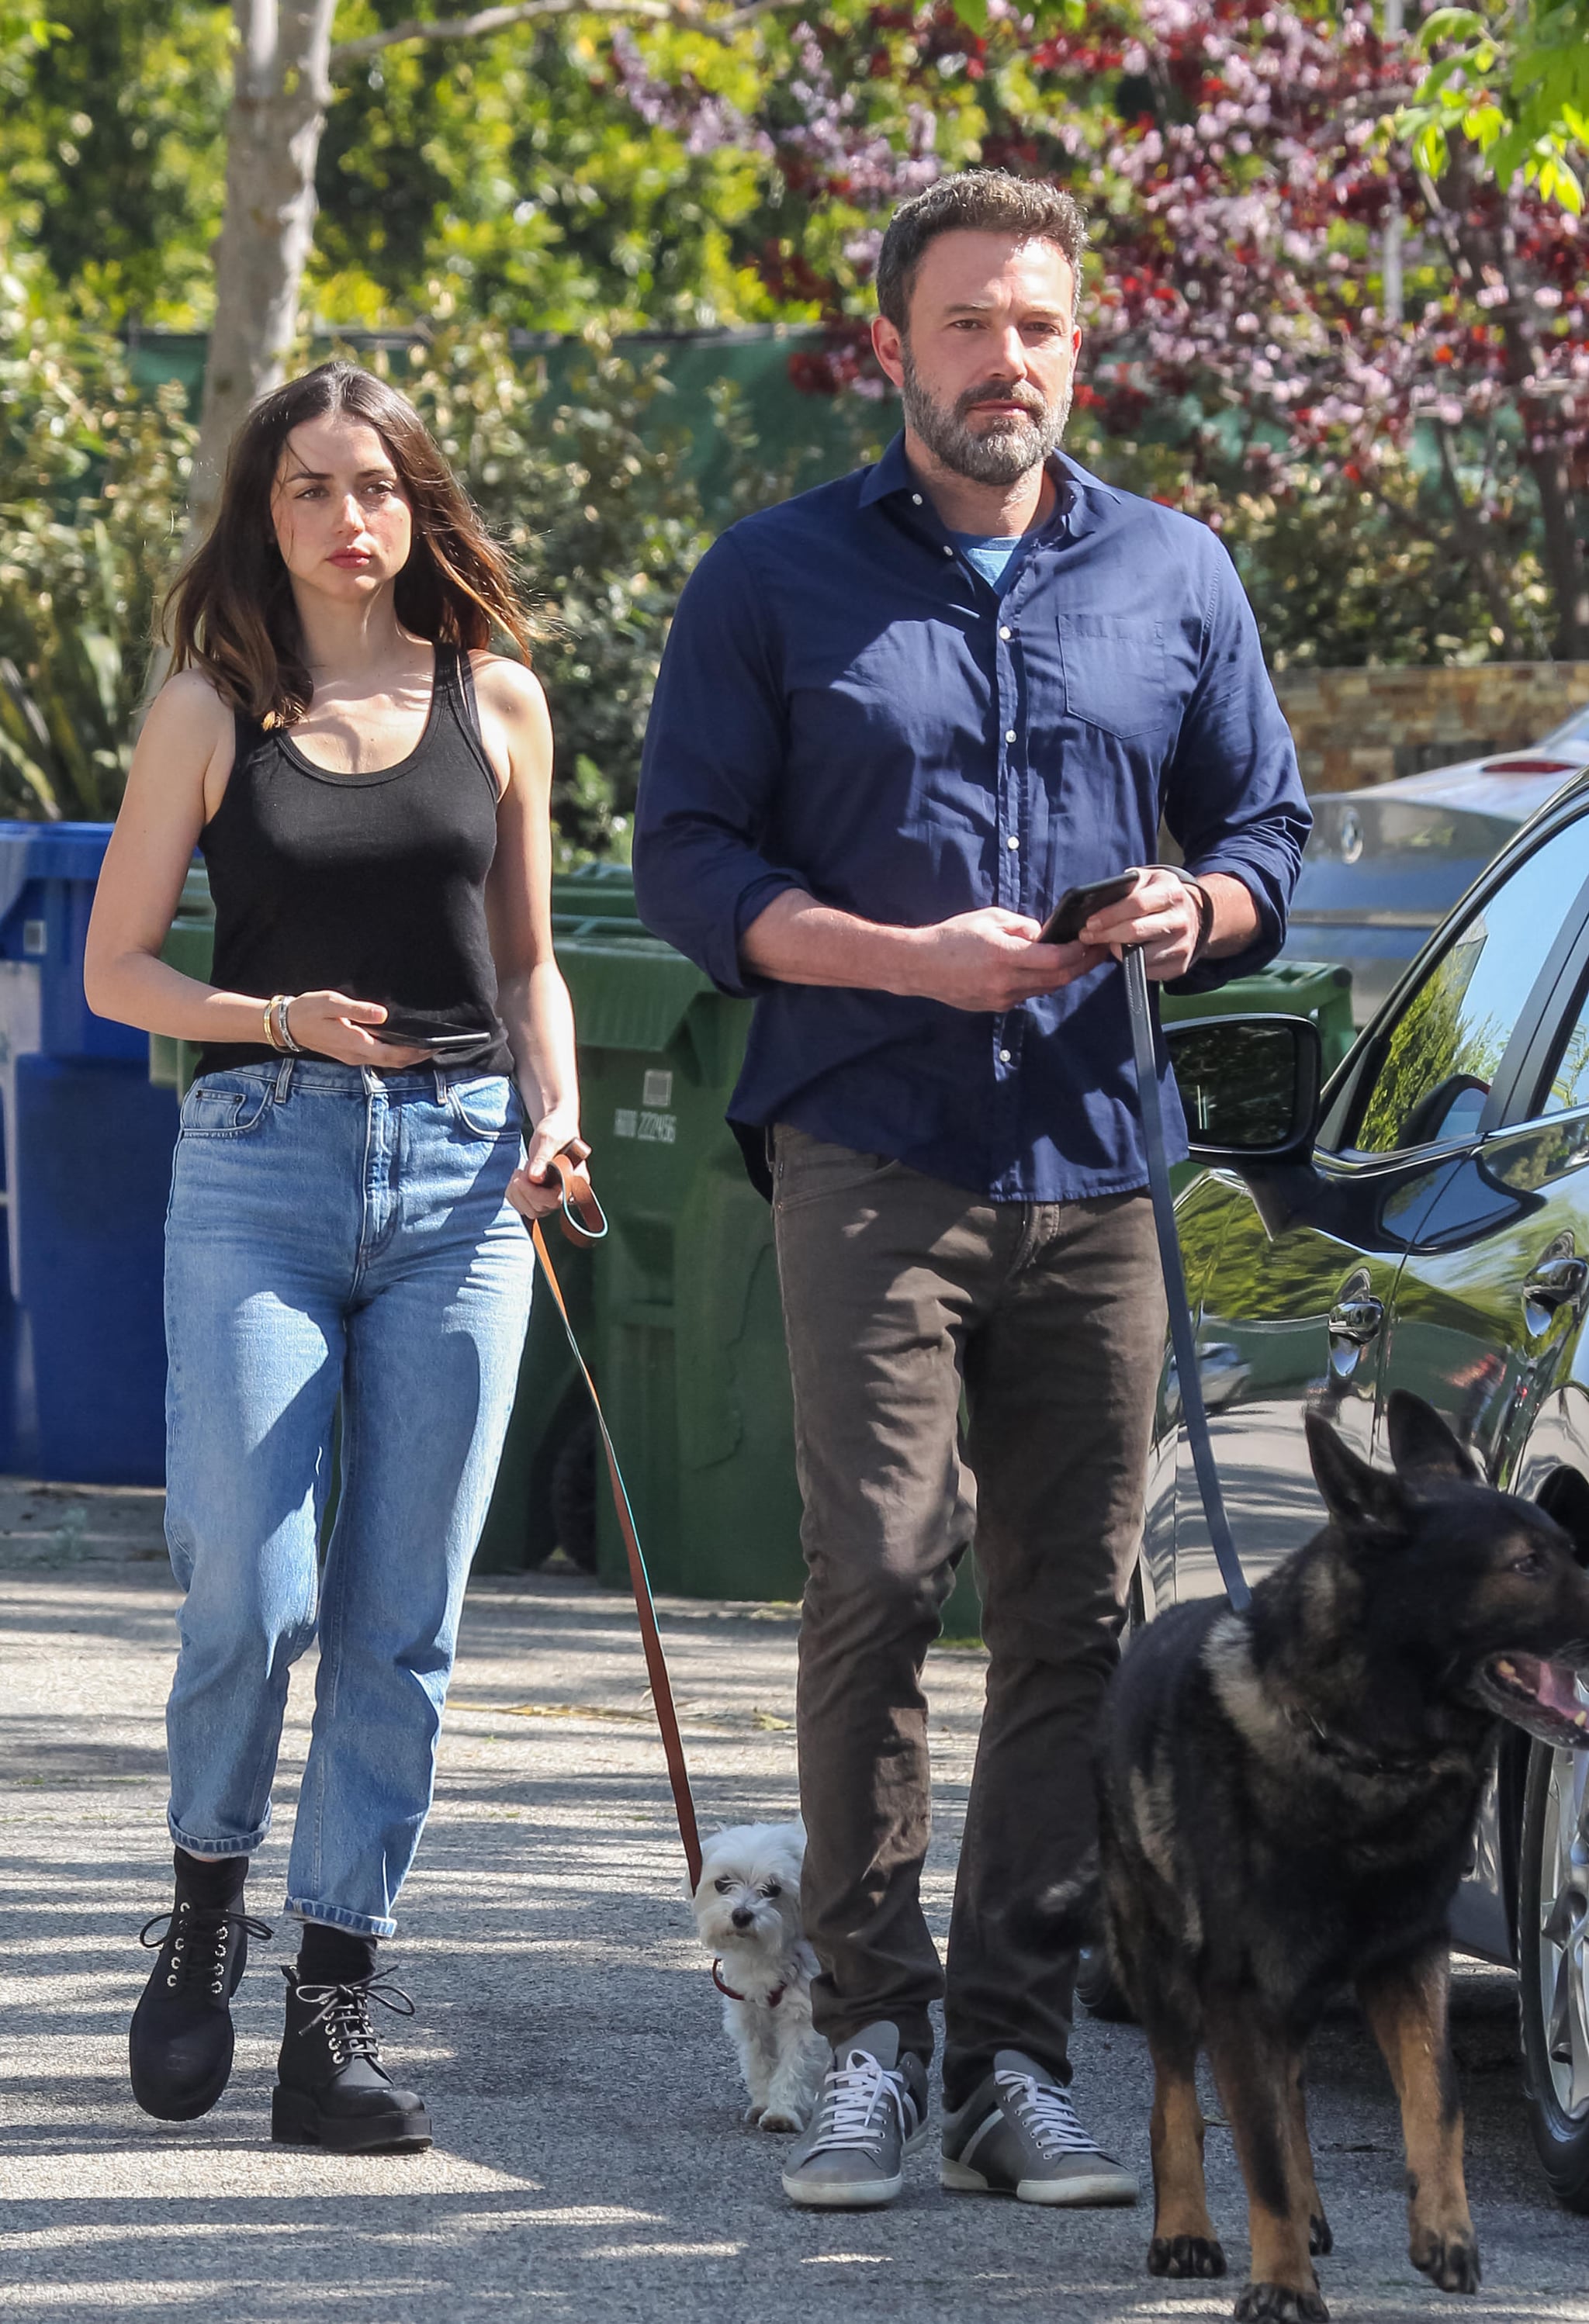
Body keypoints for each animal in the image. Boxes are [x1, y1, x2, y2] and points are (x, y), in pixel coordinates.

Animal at [687, 1821, 826, 2129]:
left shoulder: (803, 2014)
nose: (741, 1915)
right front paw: (763, 2103)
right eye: (722, 1883)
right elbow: (760, 2061)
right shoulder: (749, 2013)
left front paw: (782, 2112)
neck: (766, 1956)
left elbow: (795, 2063)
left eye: (773, 1889)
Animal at [1087, 1385, 1589, 2315]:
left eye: (1567, 1548)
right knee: (1178, 2094)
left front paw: (1443, 2230)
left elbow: (1435, 2099)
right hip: (1162, 1967)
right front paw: (1282, 2281)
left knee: (1286, 2091)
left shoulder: (1405, 1960)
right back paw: (1186, 2228)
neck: (1360, 1751)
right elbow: (1256, 2151)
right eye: (1525, 1564)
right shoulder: (1238, 1988)